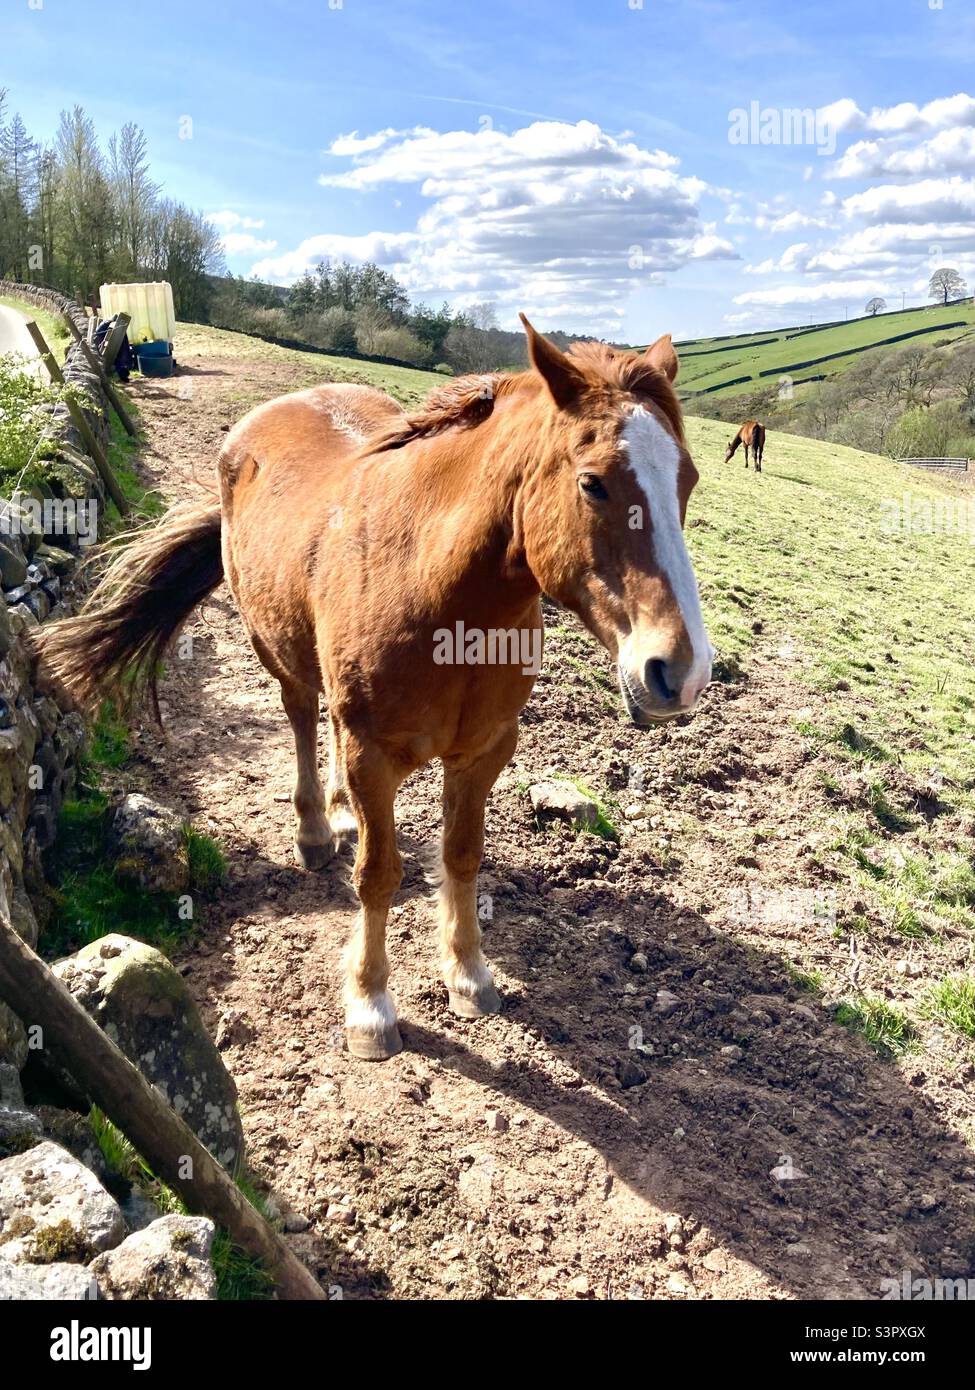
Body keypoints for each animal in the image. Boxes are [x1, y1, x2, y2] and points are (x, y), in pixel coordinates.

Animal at [35, 317, 714, 1062]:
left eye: (687, 479)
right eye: (592, 484)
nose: (681, 670)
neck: (435, 588)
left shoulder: (483, 752)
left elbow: (462, 855)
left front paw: (468, 974)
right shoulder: (373, 753)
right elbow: (377, 875)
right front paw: (369, 1004)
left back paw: (337, 813)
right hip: (280, 654)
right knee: (305, 718)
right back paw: (314, 829)